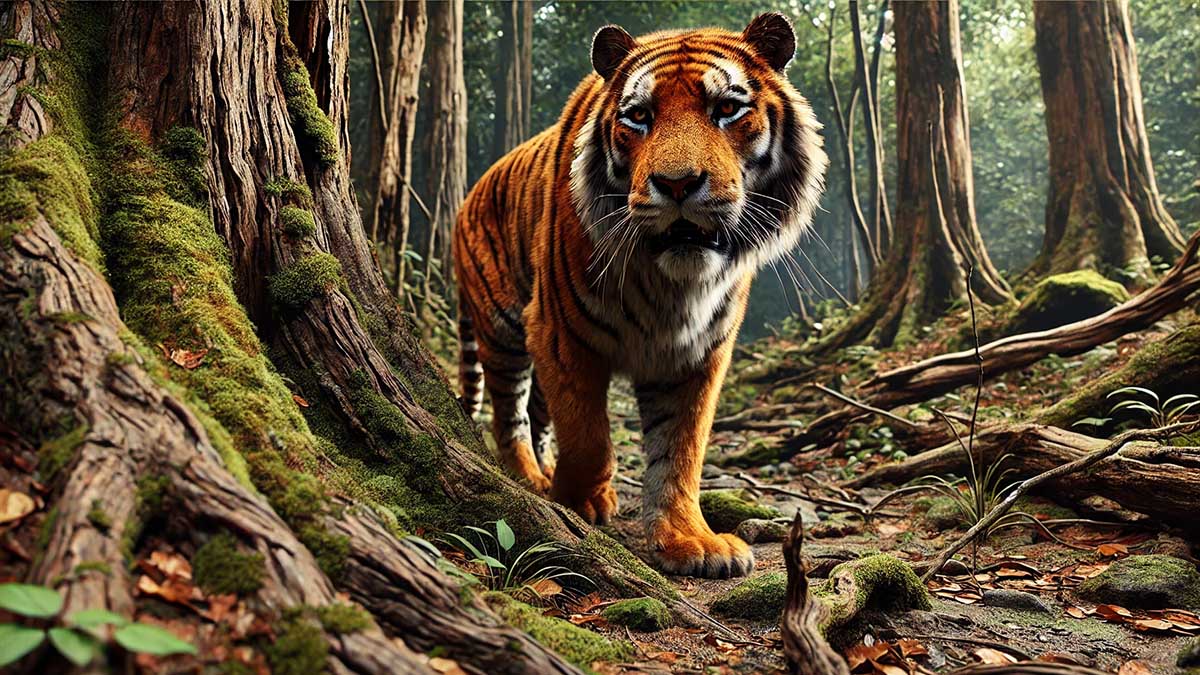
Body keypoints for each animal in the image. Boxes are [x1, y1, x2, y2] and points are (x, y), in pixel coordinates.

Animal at [452, 12, 826, 578]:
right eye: (640, 116)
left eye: (727, 109)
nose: (677, 184)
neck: (673, 283)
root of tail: (467, 196)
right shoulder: (560, 331)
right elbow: (588, 435)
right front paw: (577, 502)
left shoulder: (698, 353)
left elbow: (681, 451)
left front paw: (690, 540)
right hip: (503, 329)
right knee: (509, 412)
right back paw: (530, 477)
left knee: (538, 413)